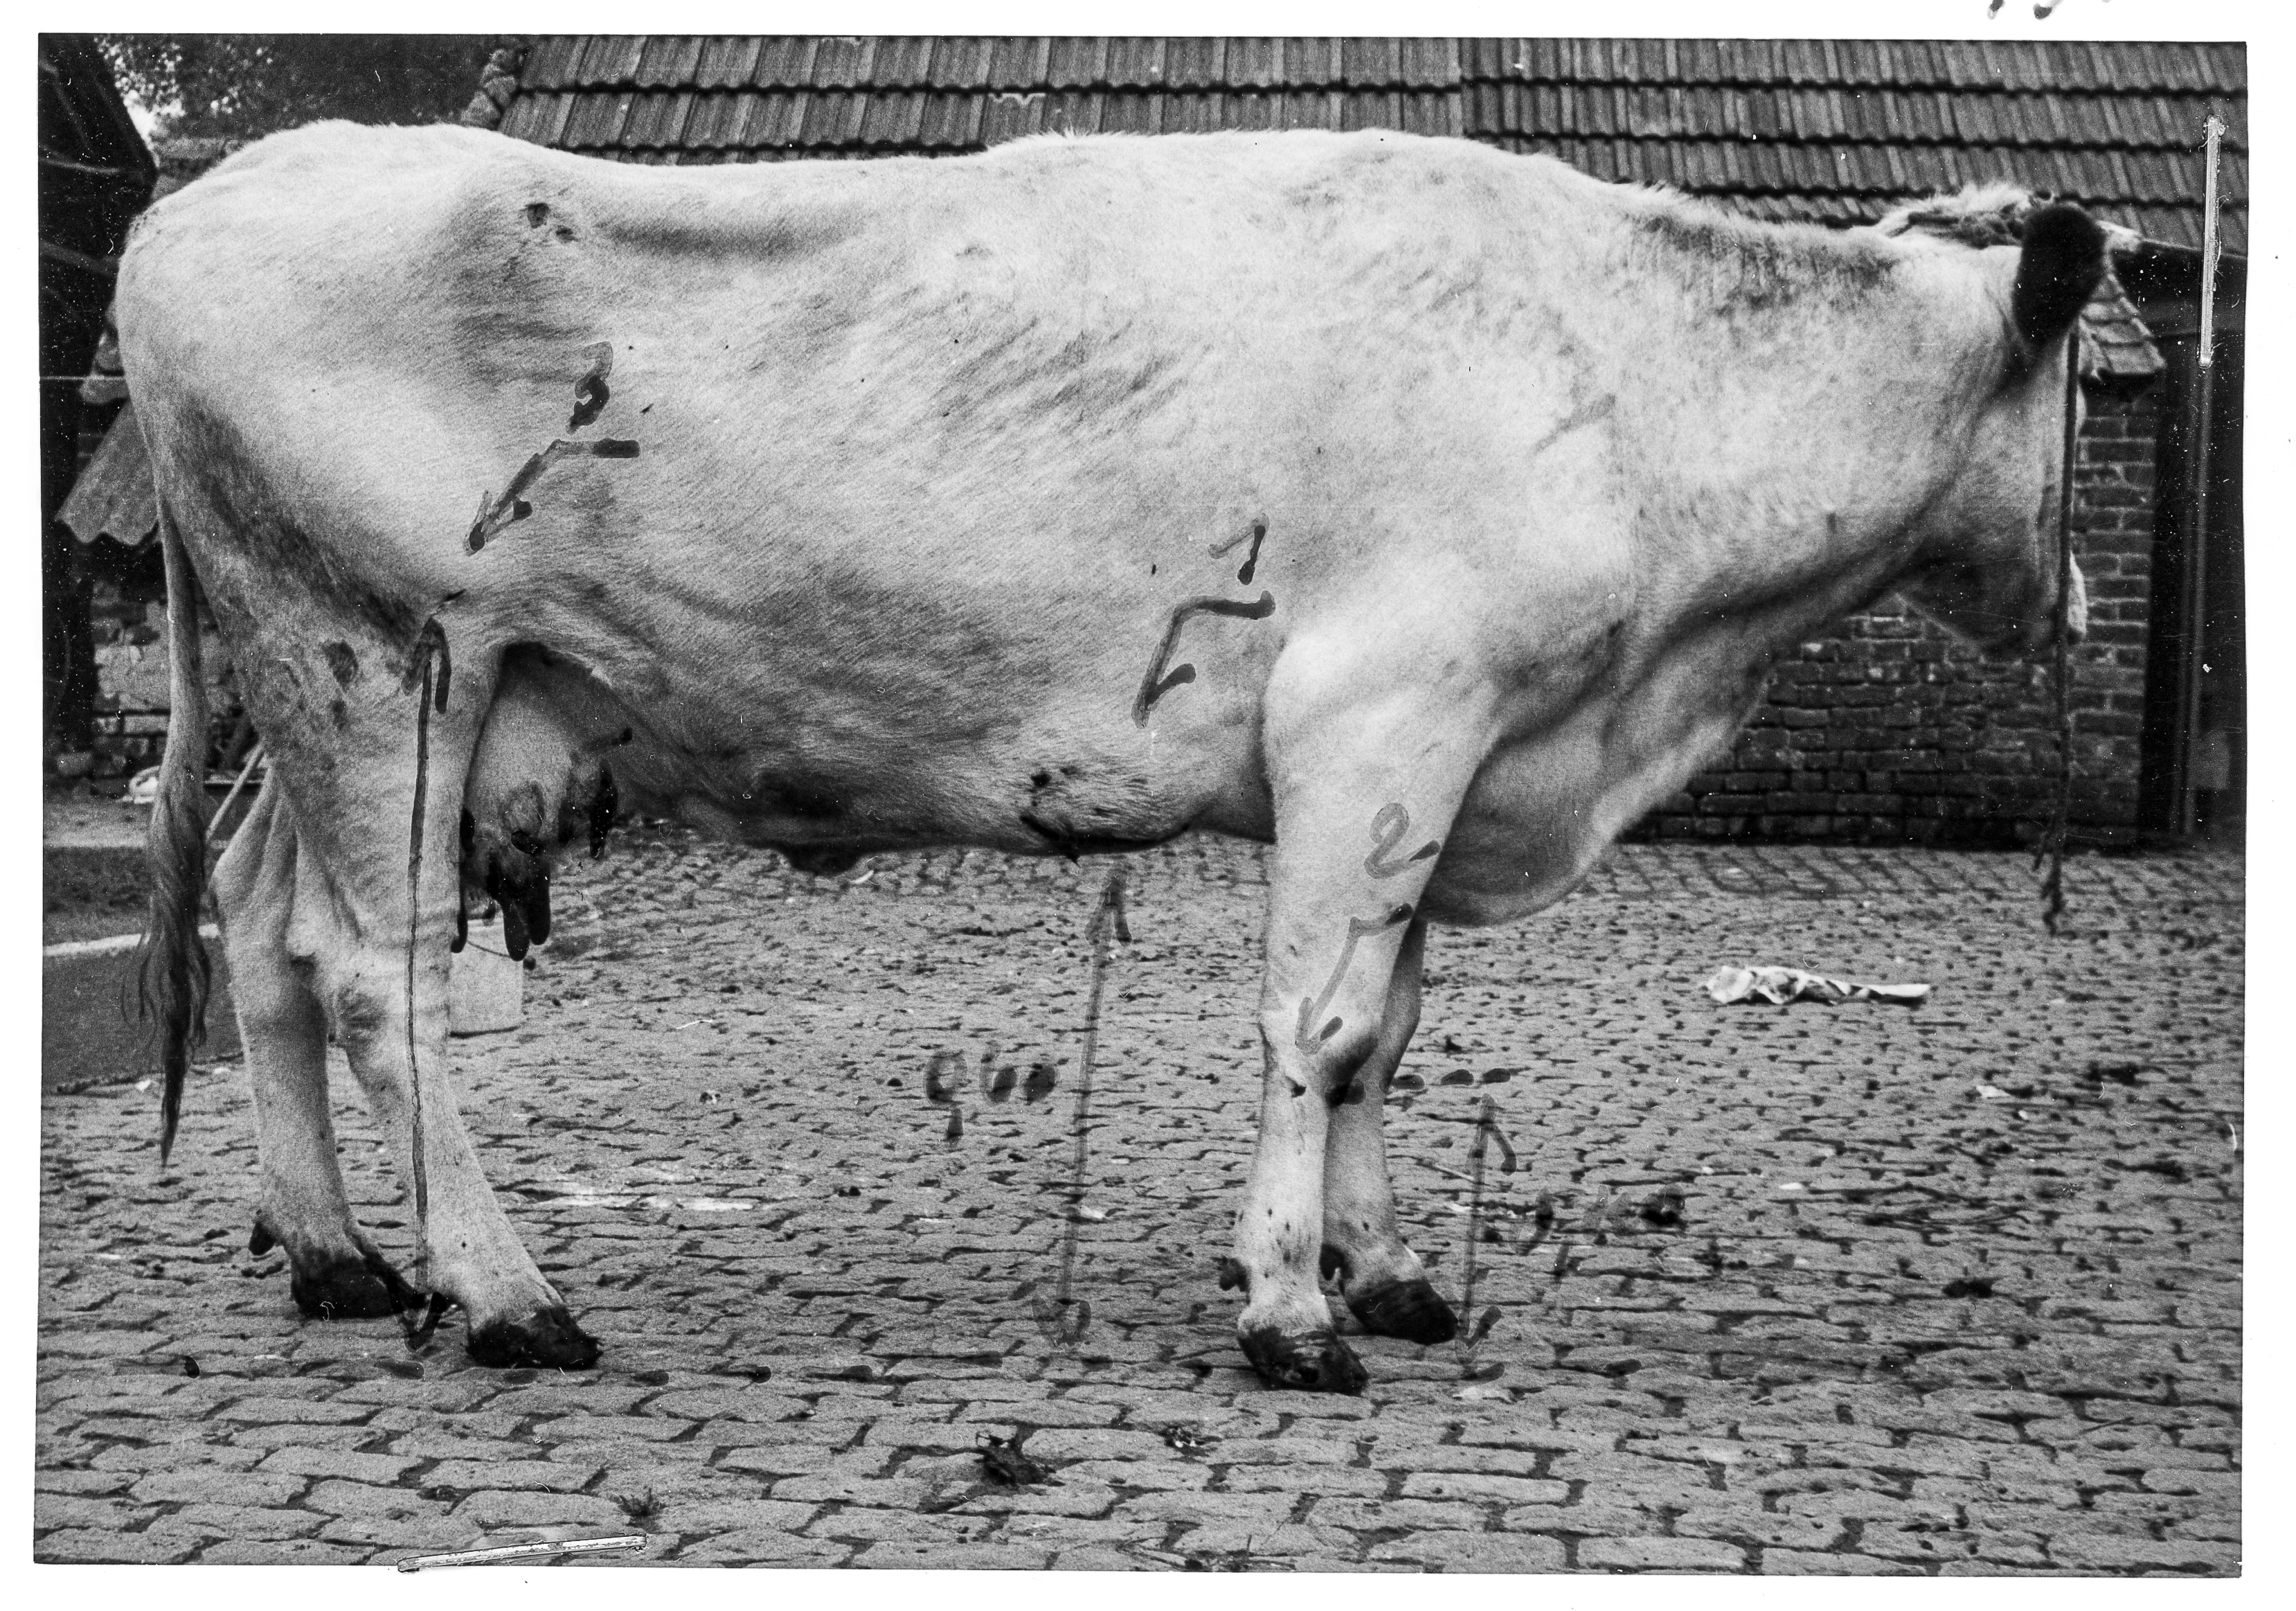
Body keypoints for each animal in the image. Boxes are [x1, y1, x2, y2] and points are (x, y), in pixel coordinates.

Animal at [123, 122, 2102, 1392]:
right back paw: (503, 1292)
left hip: (341, 701)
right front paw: (1289, 1312)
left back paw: (333, 1257)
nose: (2074, 598)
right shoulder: (1378, 717)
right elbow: (1318, 1024)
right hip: (384, 665)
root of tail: (224, 186)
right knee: (379, 977)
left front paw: (1383, 1272)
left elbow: (1386, 1028)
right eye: (2091, 376)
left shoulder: (1454, 753)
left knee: (265, 930)